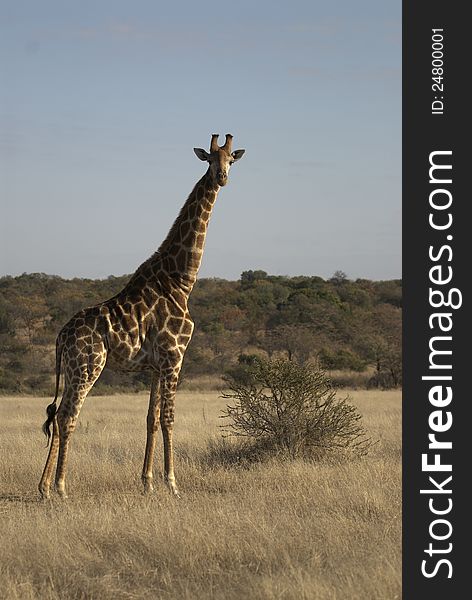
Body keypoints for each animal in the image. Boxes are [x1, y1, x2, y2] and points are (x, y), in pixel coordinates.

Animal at [38, 134, 245, 500]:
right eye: (210, 160)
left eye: (231, 160)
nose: (222, 178)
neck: (181, 279)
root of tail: (61, 336)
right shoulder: (175, 356)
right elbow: (169, 418)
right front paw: (173, 483)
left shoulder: (155, 365)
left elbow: (151, 418)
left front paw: (147, 482)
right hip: (88, 366)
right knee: (67, 416)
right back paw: (62, 487)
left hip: (73, 369)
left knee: (56, 414)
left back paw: (45, 487)